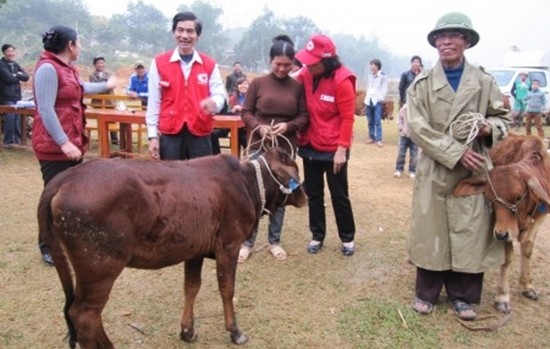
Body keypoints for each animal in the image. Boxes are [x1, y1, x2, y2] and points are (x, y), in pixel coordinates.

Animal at [37, 146, 310, 346]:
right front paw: (235, 331)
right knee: (83, 315)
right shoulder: (229, 246)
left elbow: (191, 288)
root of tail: (65, 178)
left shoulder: (195, 250)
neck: (247, 185)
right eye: (295, 169)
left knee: (78, 314)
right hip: (100, 267)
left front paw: (187, 330)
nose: (304, 196)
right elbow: (227, 289)